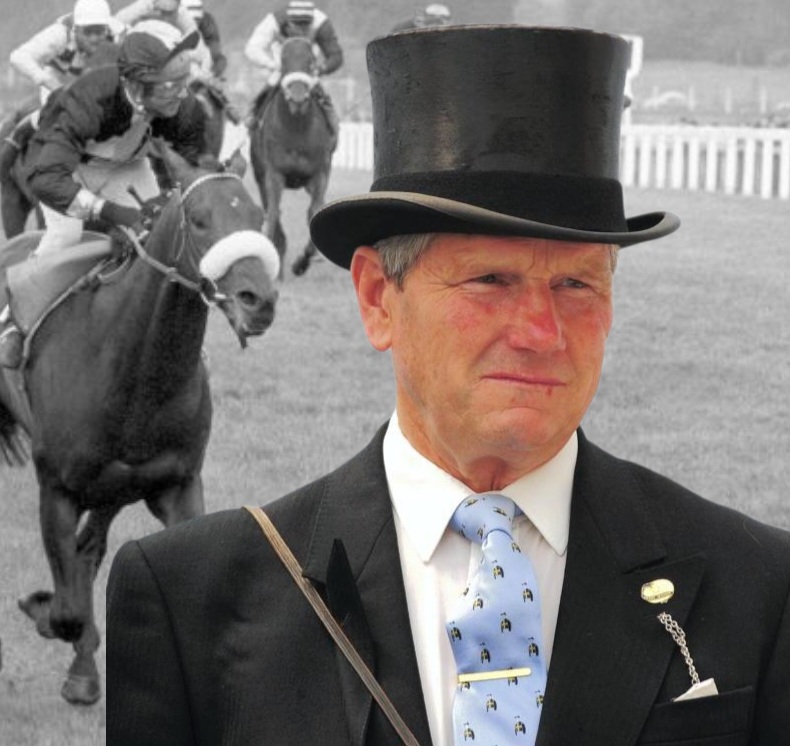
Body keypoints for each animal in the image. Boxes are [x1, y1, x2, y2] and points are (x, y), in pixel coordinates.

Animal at [0, 143, 281, 706]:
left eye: (256, 215)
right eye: (200, 220)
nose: (257, 301)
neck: (133, 375)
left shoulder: (176, 484)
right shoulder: (56, 489)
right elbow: (65, 608)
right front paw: (46, 613)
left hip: (115, 487)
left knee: (88, 551)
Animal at [249, 36, 338, 276]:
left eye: (311, 60)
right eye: (283, 60)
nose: (297, 97)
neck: (297, 128)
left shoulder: (320, 174)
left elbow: (314, 211)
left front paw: (301, 262)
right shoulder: (274, 174)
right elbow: (272, 213)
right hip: (260, 174)